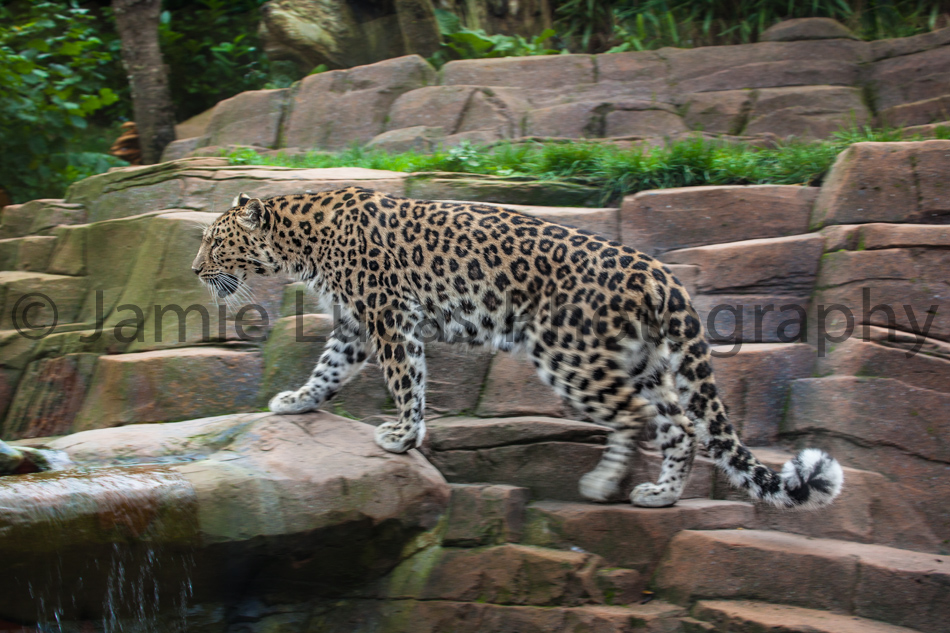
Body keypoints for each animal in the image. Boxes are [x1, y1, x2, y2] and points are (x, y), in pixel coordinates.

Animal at [191, 187, 844, 509]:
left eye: (214, 242)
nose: (195, 270)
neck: (298, 239)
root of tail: (659, 271)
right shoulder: (356, 323)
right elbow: (328, 368)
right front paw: (296, 401)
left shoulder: (388, 317)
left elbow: (405, 379)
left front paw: (402, 436)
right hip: (645, 360)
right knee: (679, 425)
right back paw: (658, 495)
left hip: (566, 351)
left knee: (633, 416)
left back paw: (603, 486)